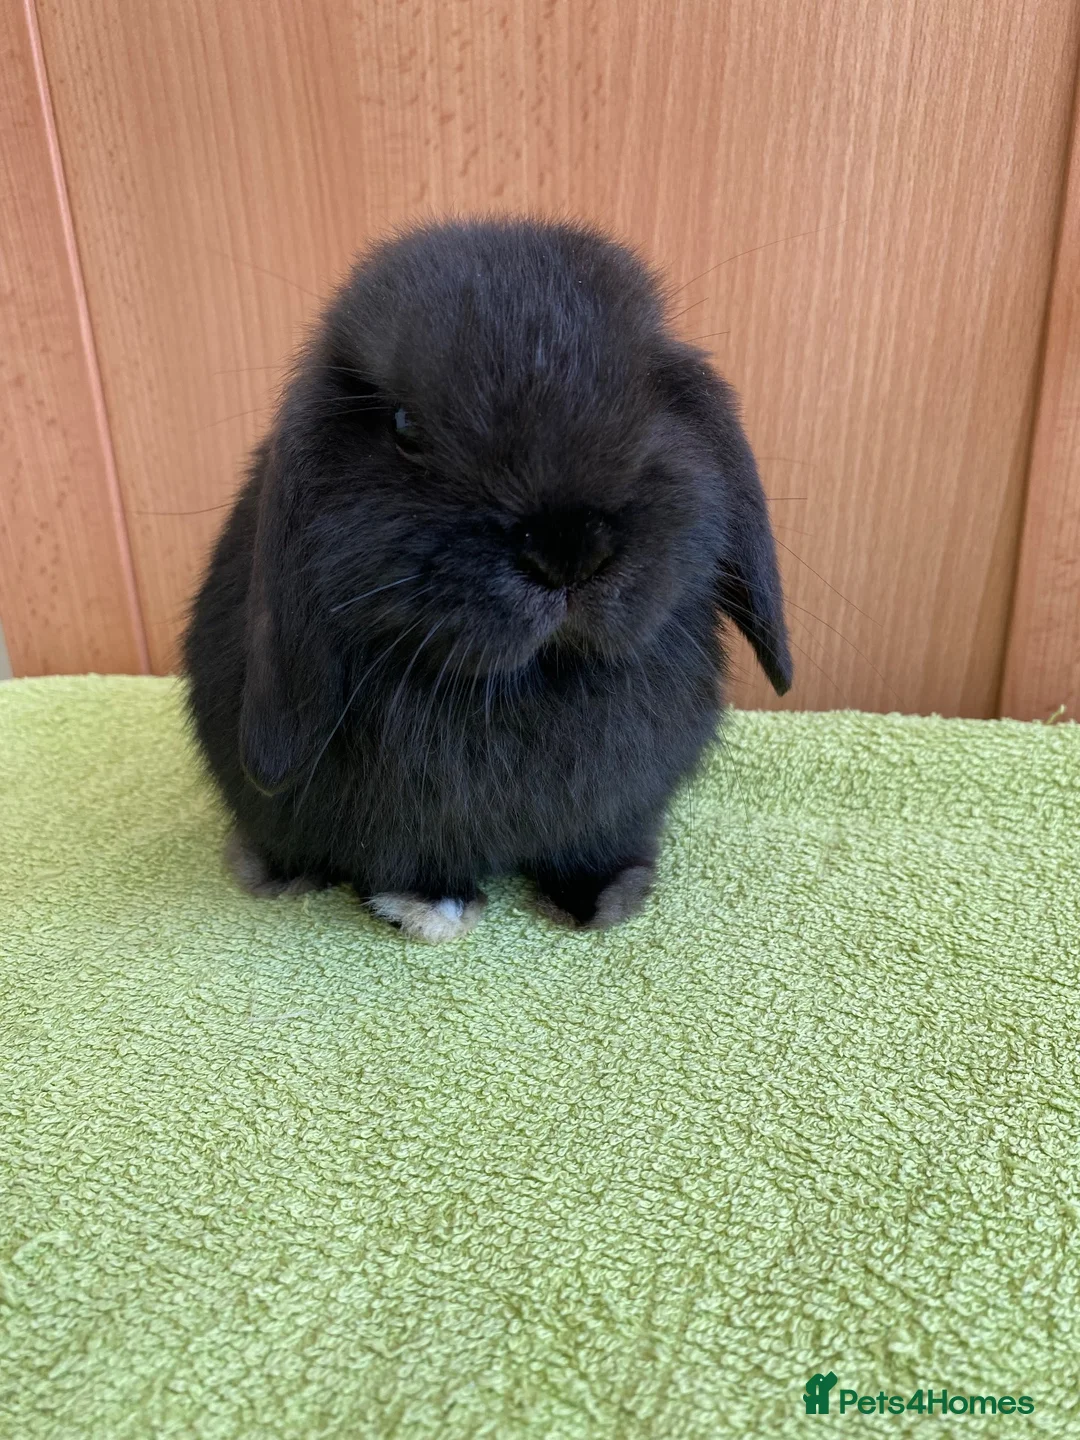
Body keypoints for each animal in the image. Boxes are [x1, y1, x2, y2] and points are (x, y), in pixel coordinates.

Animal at [183, 215, 791, 942]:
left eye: (648, 394)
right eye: (405, 427)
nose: (567, 549)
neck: (534, 678)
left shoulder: (620, 804)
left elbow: (599, 844)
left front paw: (606, 894)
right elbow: (404, 860)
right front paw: (429, 908)